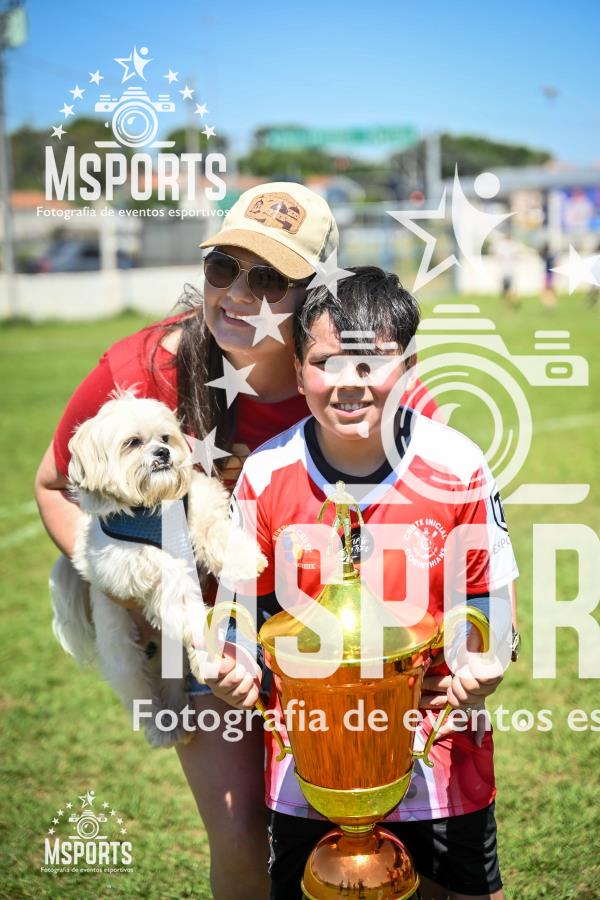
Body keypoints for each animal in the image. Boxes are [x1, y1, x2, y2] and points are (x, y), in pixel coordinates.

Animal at [49, 391, 266, 747]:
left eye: (165, 438)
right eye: (133, 442)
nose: (163, 453)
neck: (152, 508)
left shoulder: (197, 506)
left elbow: (214, 530)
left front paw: (244, 557)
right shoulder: (125, 562)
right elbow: (170, 576)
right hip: (123, 655)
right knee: (142, 693)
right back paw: (164, 728)